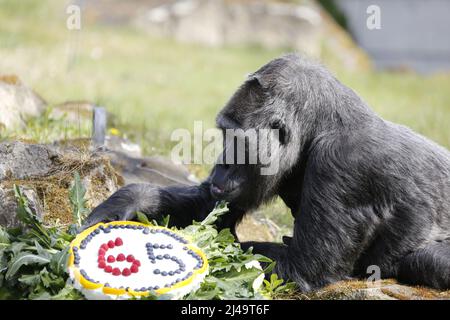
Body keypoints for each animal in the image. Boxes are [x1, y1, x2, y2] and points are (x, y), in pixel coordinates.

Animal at [81, 54, 450, 290]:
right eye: (223, 133)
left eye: (236, 138)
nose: (222, 163)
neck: (323, 126)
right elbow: (208, 208)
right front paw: (127, 204)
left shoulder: (345, 164)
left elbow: (298, 270)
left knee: (428, 262)